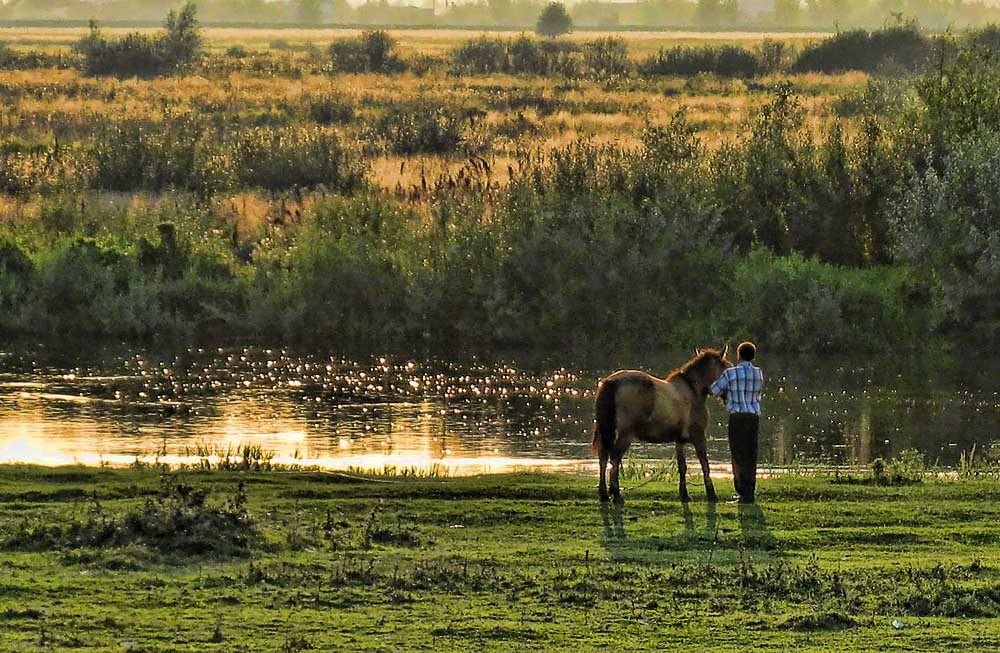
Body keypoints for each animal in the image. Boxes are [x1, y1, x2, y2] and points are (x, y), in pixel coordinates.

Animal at [588, 346, 732, 504]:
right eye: (728, 368)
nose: (729, 396)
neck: (693, 391)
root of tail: (611, 382)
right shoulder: (699, 437)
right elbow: (705, 464)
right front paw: (711, 495)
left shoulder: (680, 440)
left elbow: (682, 467)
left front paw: (684, 495)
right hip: (625, 435)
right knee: (614, 458)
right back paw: (617, 494)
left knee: (603, 457)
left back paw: (604, 494)